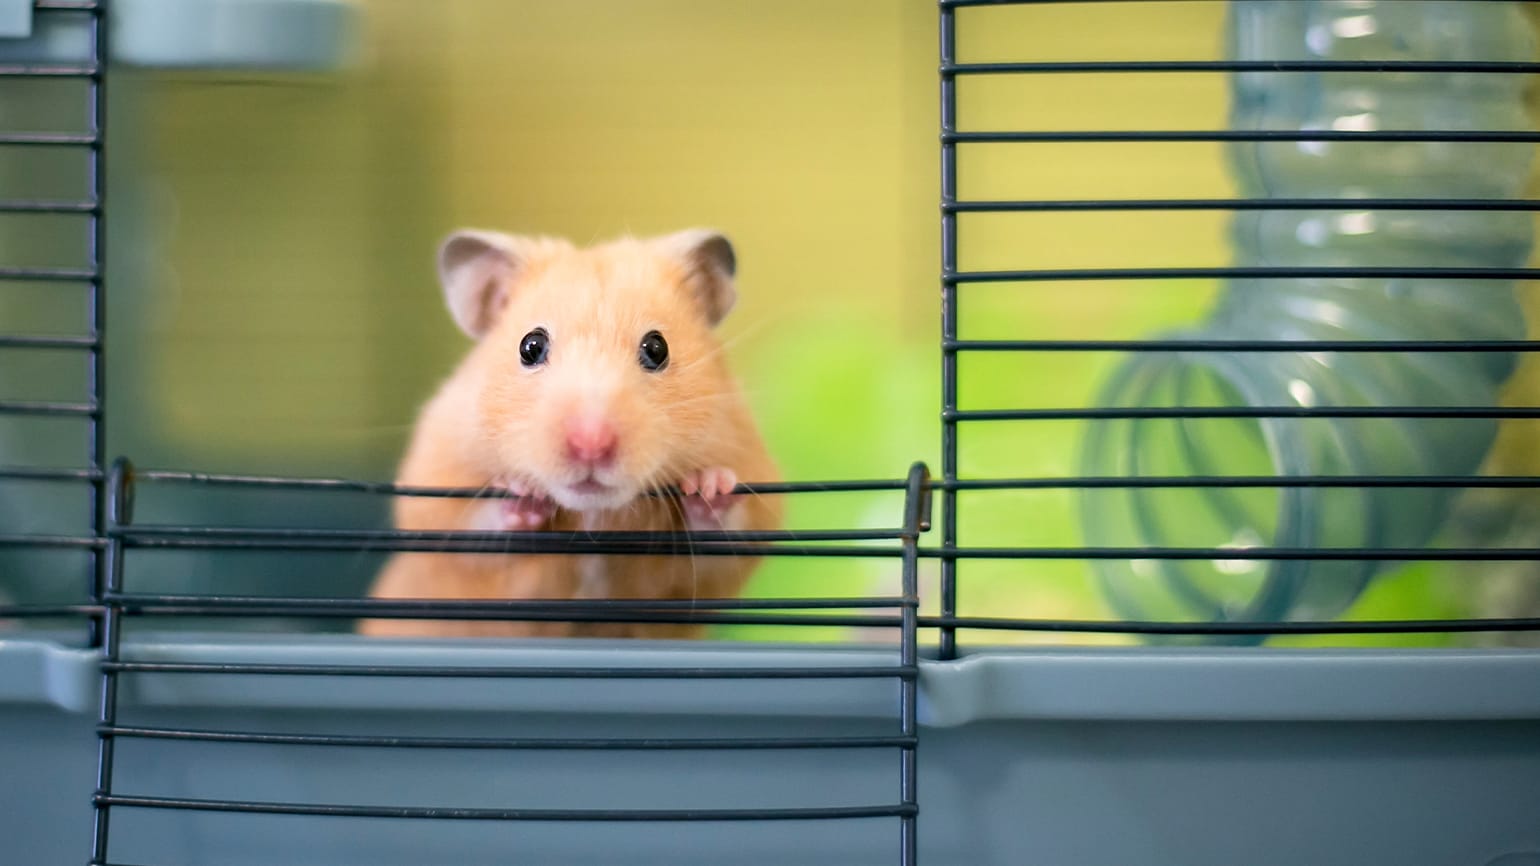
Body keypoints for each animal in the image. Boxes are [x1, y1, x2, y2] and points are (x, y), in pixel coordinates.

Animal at [359, 228, 783, 639]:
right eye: (530, 346)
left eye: (657, 348)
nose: (590, 446)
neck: (592, 512)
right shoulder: (437, 488)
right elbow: (471, 525)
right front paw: (522, 493)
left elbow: (724, 534)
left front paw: (709, 485)